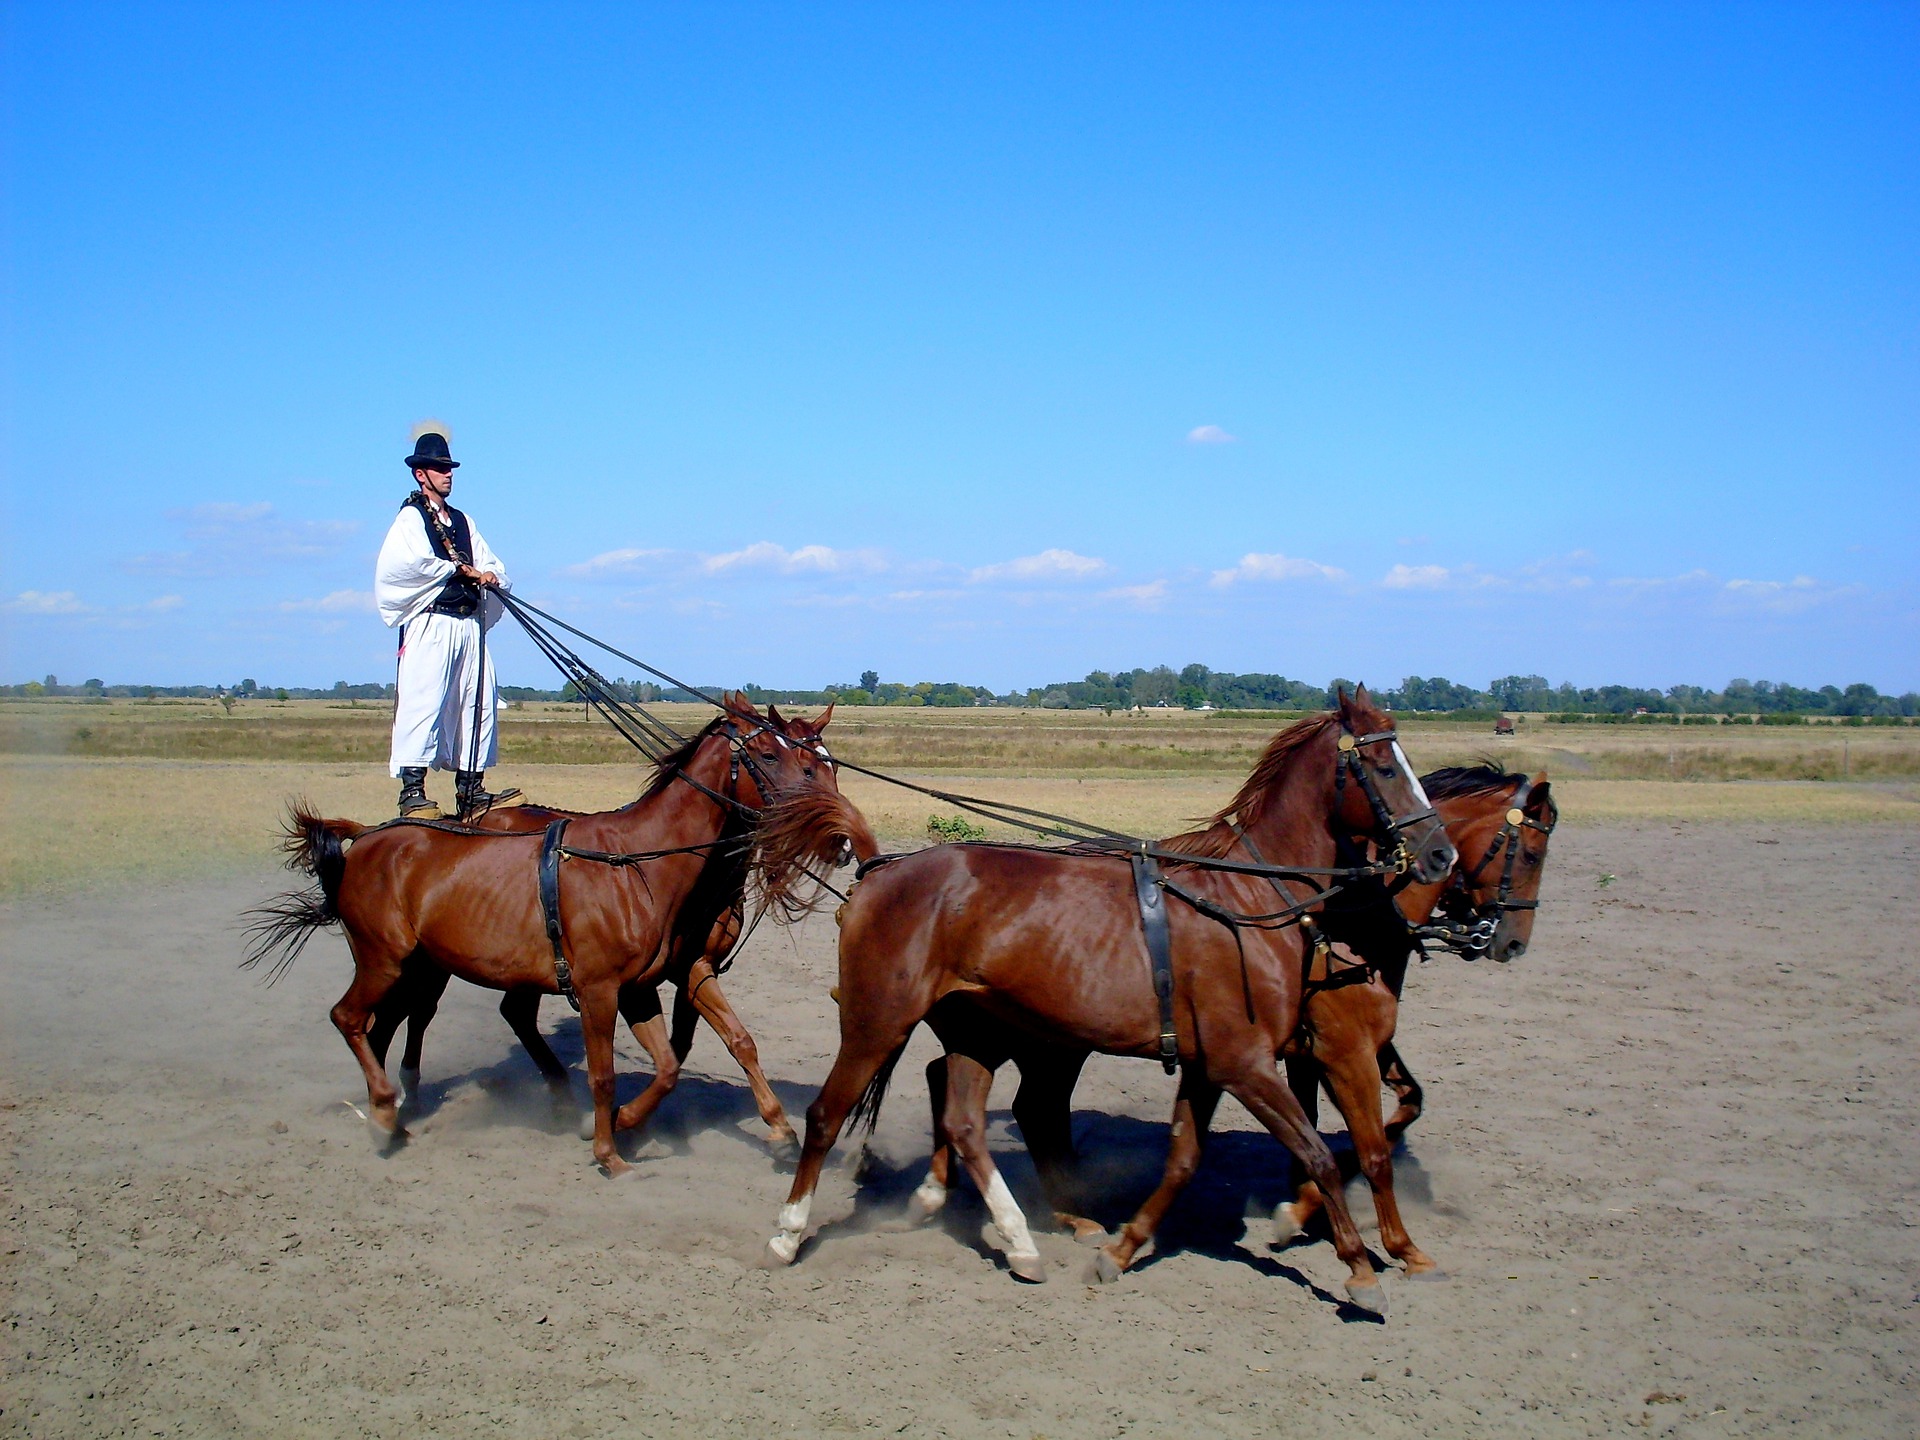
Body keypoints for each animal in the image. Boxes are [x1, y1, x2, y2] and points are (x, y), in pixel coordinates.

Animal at [247, 695, 864, 1175]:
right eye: (771, 755)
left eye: (824, 765)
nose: (840, 838)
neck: (636, 861)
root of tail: (370, 835)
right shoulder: (599, 990)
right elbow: (605, 1073)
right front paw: (608, 1149)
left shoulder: (651, 984)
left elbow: (689, 1059)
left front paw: (637, 1123)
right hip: (386, 959)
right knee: (354, 1018)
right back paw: (383, 1109)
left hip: (421, 963)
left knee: (395, 1024)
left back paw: (396, 1108)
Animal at [756, 691, 1443, 1320]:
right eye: (1384, 767)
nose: (1439, 852)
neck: (1245, 900)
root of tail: (879, 871)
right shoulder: (1248, 1065)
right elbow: (1319, 1154)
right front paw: (1360, 1268)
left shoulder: (1210, 1066)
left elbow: (1185, 1160)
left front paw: (1122, 1249)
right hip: (876, 1023)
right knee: (826, 1116)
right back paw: (787, 1235)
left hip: (975, 1033)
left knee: (965, 1123)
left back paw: (1020, 1242)